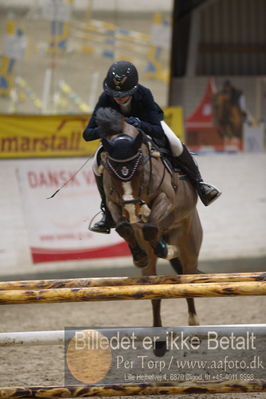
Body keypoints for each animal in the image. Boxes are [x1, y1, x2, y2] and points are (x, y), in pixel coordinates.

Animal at [95, 107, 202, 328]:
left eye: (140, 169)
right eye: (111, 171)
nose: (131, 207)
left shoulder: (166, 198)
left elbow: (151, 226)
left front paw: (164, 247)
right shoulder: (113, 203)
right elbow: (124, 227)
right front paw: (139, 256)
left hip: (189, 245)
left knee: (188, 279)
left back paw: (193, 321)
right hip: (151, 269)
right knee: (153, 290)